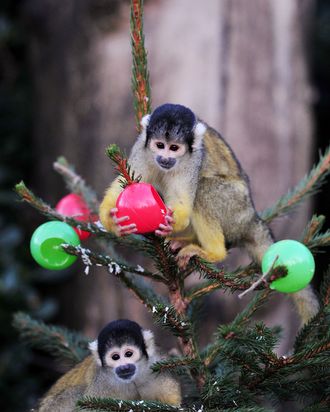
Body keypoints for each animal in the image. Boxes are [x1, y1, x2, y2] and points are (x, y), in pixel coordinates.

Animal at [98, 104, 320, 326]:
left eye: (174, 148)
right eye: (160, 145)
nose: (165, 158)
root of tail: (251, 217)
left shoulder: (192, 161)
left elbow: (184, 201)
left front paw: (172, 223)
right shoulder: (141, 150)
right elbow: (122, 185)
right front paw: (113, 220)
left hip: (234, 207)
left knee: (203, 190)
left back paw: (213, 252)